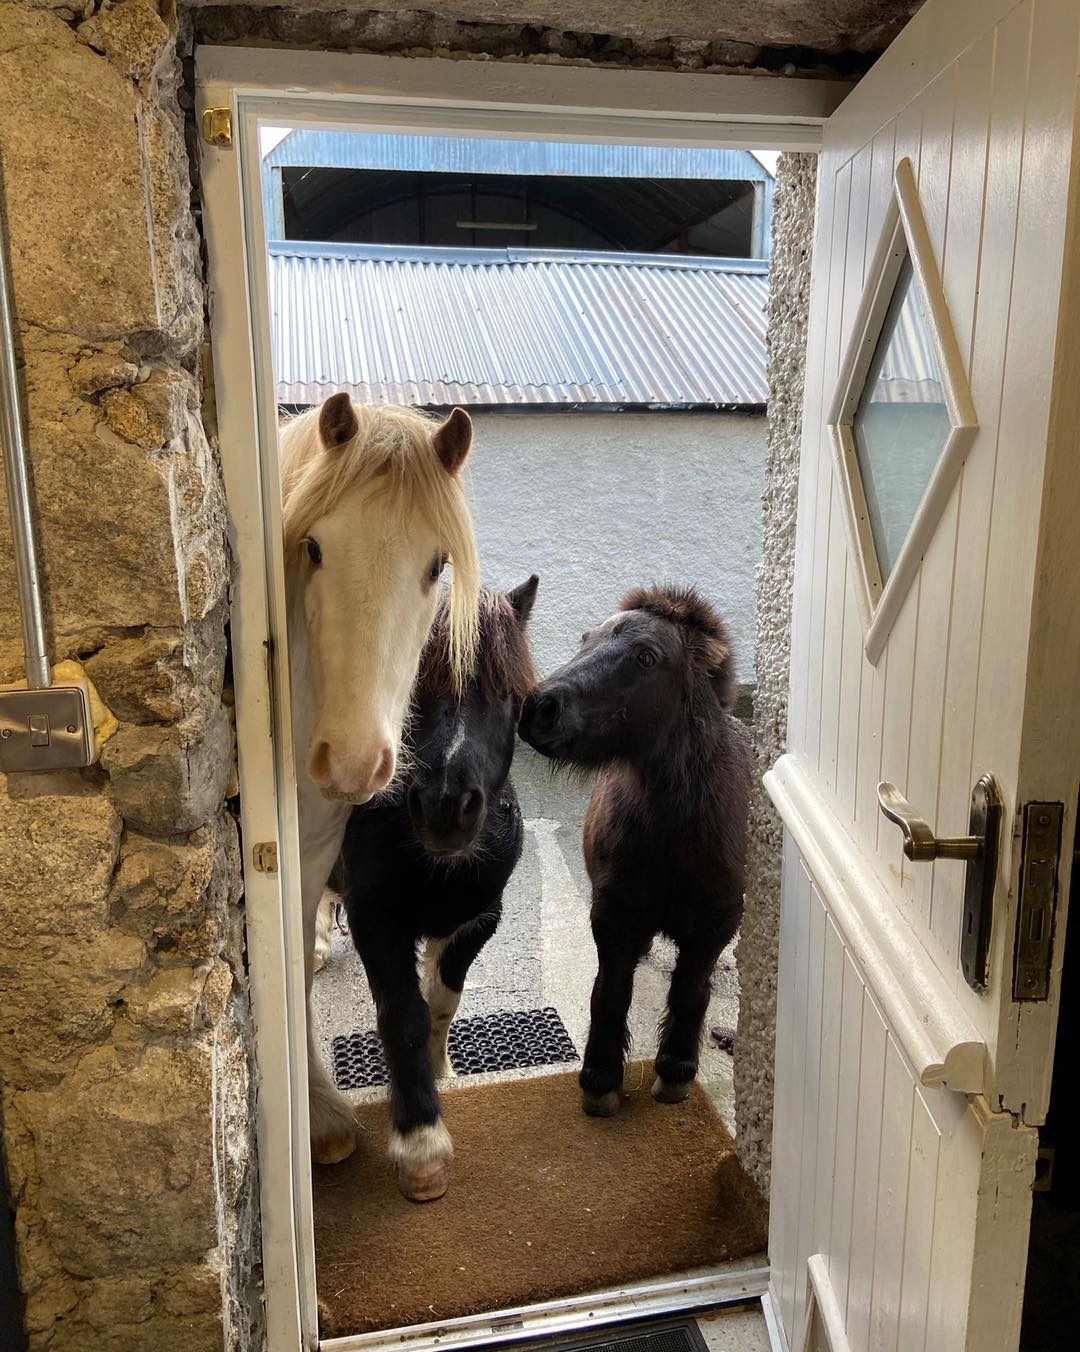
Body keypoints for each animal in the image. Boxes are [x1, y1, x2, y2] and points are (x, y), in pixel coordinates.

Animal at [281, 392, 481, 1165]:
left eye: (436, 565)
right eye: (312, 548)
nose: (353, 761)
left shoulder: (314, 842)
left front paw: (315, 1109)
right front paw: (319, 1115)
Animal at [336, 578, 539, 1201]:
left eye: (507, 694)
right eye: (412, 682)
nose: (447, 806)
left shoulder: (477, 920)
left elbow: (443, 1002)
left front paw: (443, 1069)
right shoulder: (375, 921)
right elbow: (404, 1014)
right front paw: (421, 1144)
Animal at [518, 584, 750, 1117]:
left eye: (646, 657)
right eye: (586, 638)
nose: (538, 708)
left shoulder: (716, 923)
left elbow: (690, 991)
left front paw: (676, 1070)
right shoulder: (613, 915)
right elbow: (610, 993)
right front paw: (600, 1079)